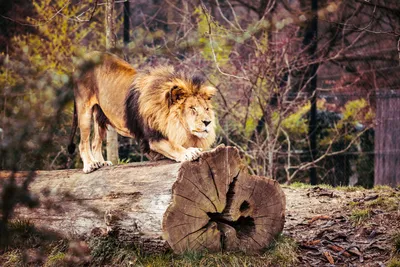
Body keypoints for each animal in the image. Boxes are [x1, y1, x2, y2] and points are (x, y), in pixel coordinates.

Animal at [69, 52, 219, 174]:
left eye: (206, 109)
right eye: (193, 108)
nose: (207, 122)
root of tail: (83, 57)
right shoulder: (152, 139)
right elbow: (173, 146)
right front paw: (189, 152)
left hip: (100, 117)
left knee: (96, 142)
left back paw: (102, 162)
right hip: (84, 111)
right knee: (83, 142)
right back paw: (90, 165)